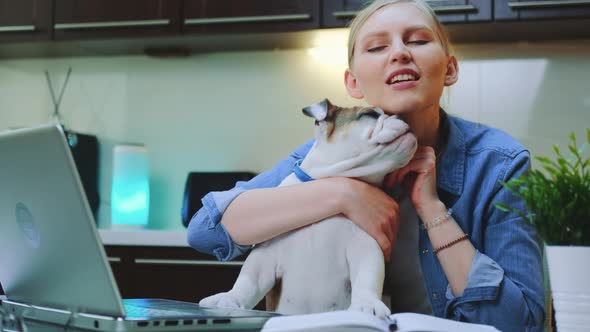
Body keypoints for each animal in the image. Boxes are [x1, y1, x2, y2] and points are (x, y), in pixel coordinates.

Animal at [201, 99, 418, 320]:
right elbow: (247, 281)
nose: (403, 116)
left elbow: (368, 276)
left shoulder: (366, 246)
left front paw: (367, 304)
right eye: (370, 114)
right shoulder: (265, 254)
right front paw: (230, 299)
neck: (330, 181)